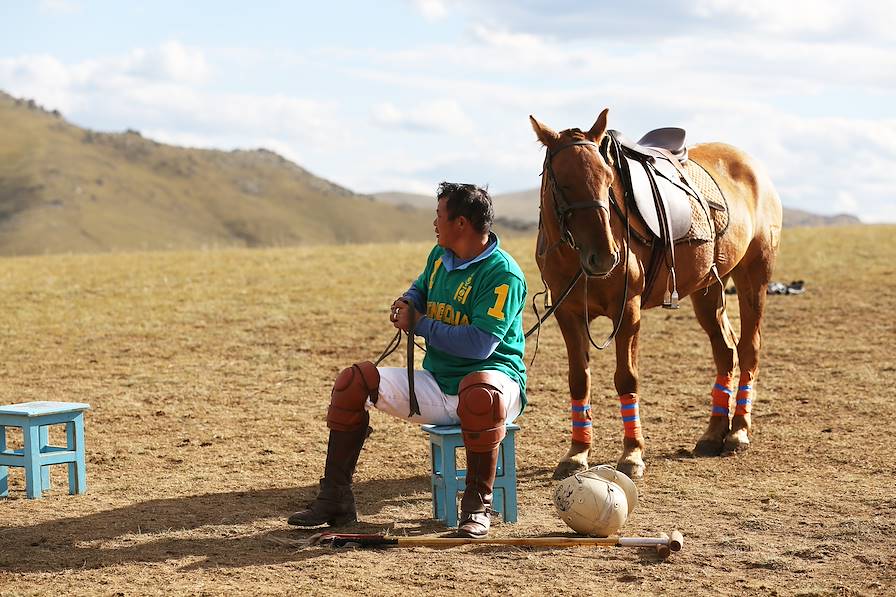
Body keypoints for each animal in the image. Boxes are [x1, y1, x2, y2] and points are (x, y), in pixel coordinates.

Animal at [528, 108, 780, 480]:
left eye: (608, 179)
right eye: (563, 181)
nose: (605, 256)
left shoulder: (628, 311)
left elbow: (626, 379)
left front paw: (632, 454)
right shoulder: (567, 313)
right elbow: (579, 380)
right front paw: (577, 453)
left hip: (753, 279)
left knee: (749, 349)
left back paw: (738, 432)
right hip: (708, 289)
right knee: (726, 352)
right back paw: (713, 433)